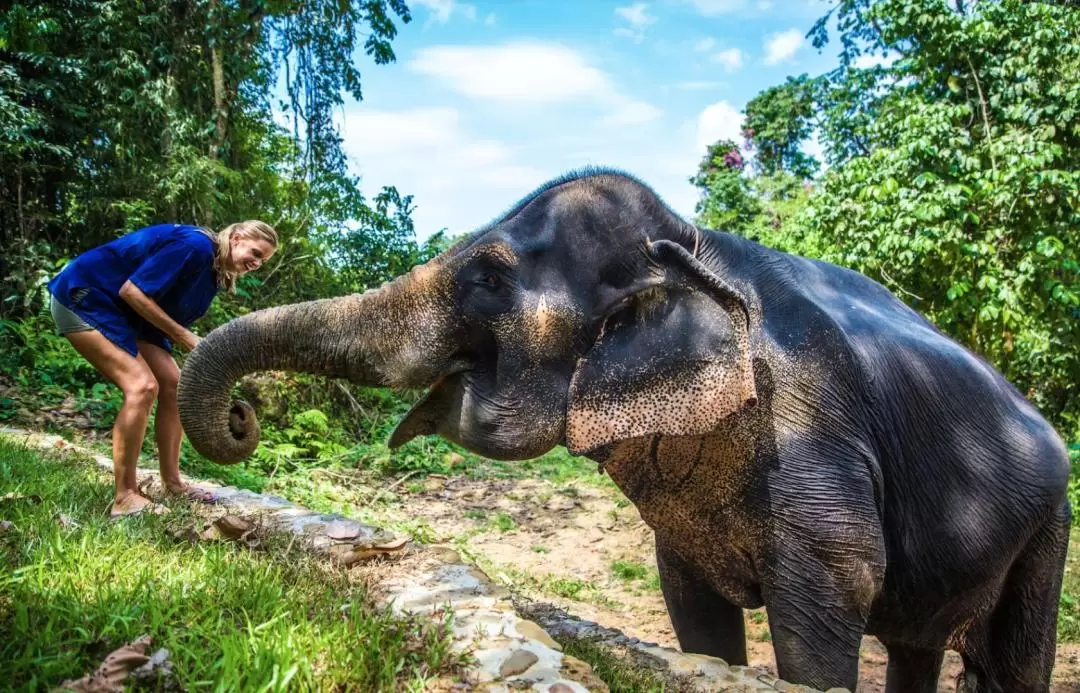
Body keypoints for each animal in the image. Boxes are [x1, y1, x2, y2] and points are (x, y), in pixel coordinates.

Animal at [179, 168, 1071, 690]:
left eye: (489, 277)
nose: (241, 416)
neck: (696, 240)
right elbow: (694, 609)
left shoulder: (815, 425)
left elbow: (833, 586)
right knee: (921, 644)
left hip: (1051, 523)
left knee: (1008, 658)